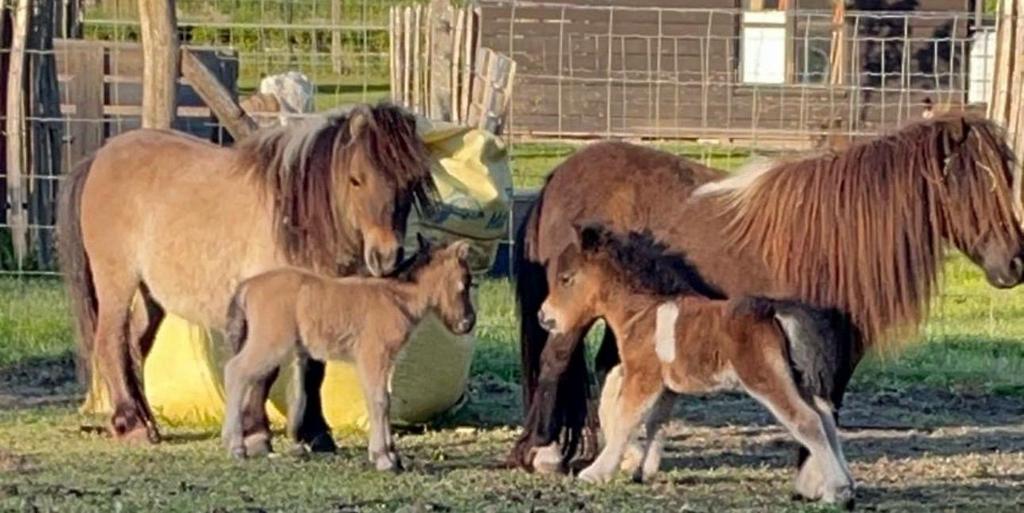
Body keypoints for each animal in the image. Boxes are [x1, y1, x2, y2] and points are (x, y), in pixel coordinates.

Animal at [57, 103, 438, 451]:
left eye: (409, 181)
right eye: (356, 179)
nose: (387, 256)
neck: (295, 220)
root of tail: (100, 156)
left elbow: (314, 368)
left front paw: (316, 434)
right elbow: (265, 370)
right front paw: (257, 434)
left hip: (150, 294)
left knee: (135, 347)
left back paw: (148, 423)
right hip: (117, 282)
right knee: (110, 343)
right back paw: (132, 425)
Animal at [222, 236, 475, 468]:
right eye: (465, 282)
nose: (468, 323)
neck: (395, 298)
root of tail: (248, 285)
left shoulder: (386, 361)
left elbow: (385, 400)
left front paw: (392, 455)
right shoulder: (373, 356)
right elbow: (379, 400)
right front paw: (383, 459)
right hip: (270, 343)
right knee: (236, 371)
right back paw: (235, 446)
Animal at [537, 224, 855, 505]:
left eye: (566, 278)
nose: (544, 317)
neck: (644, 313)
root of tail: (775, 312)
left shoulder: (642, 377)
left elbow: (626, 420)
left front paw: (596, 473)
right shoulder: (667, 388)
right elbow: (656, 424)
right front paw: (643, 472)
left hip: (766, 379)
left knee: (807, 421)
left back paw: (836, 491)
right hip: (798, 380)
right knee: (826, 418)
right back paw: (844, 486)